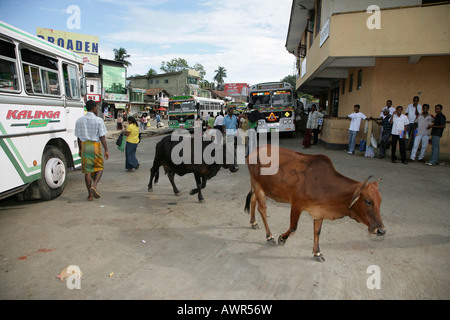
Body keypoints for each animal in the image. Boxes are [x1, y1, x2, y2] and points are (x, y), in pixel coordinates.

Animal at [244, 144, 384, 262]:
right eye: (368, 201)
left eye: (380, 201)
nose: (381, 230)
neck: (324, 184)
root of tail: (256, 149)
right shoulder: (296, 204)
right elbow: (293, 227)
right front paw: (281, 238)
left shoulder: (319, 211)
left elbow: (317, 231)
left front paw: (317, 253)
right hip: (258, 185)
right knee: (262, 209)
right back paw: (269, 236)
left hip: (260, 187)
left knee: (252, 199)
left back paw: (253, 223)